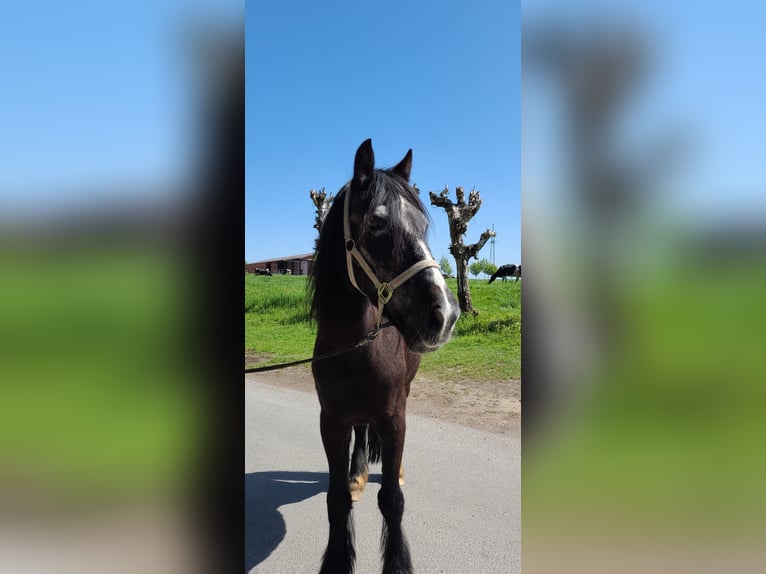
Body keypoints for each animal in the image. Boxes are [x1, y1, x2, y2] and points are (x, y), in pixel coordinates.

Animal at [308, 141, 460, 574]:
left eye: (423, 224)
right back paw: (359, 472)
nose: (445, 313)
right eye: (376, 222)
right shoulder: (331, 422)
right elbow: (336, 500)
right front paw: (338, 559)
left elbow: (392, 501)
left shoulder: (394, 419)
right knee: (361, 432)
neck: (356, 347)